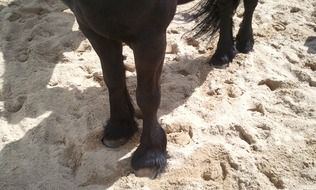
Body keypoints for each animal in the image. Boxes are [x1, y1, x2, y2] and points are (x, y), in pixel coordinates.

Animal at [60, 0, 258, 177]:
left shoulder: (150, 35)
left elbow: (147, 95)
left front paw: (150, 155)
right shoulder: (92, 28)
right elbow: (114, 79)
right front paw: (119, 127)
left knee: (248, 5)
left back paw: (243, 43)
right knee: (225, 7)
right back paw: (223, 54)